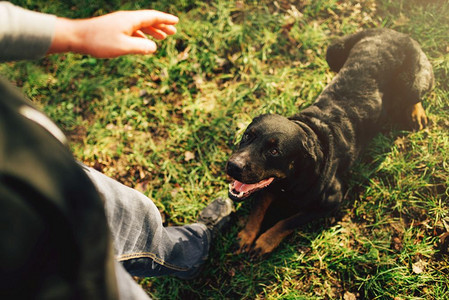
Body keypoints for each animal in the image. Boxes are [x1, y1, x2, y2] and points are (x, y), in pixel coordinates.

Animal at [226, 29, 432, 256]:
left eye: (274, 151)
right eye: (247, 135)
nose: (233, 165)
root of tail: (393, 31)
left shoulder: (332, 200)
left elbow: (289, 221)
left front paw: (265, 241)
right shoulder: (267, 184)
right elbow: (259, 206)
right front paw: (247, 235)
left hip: (412, 83)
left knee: (416, 95)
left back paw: (417, 113)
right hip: (333, 51)